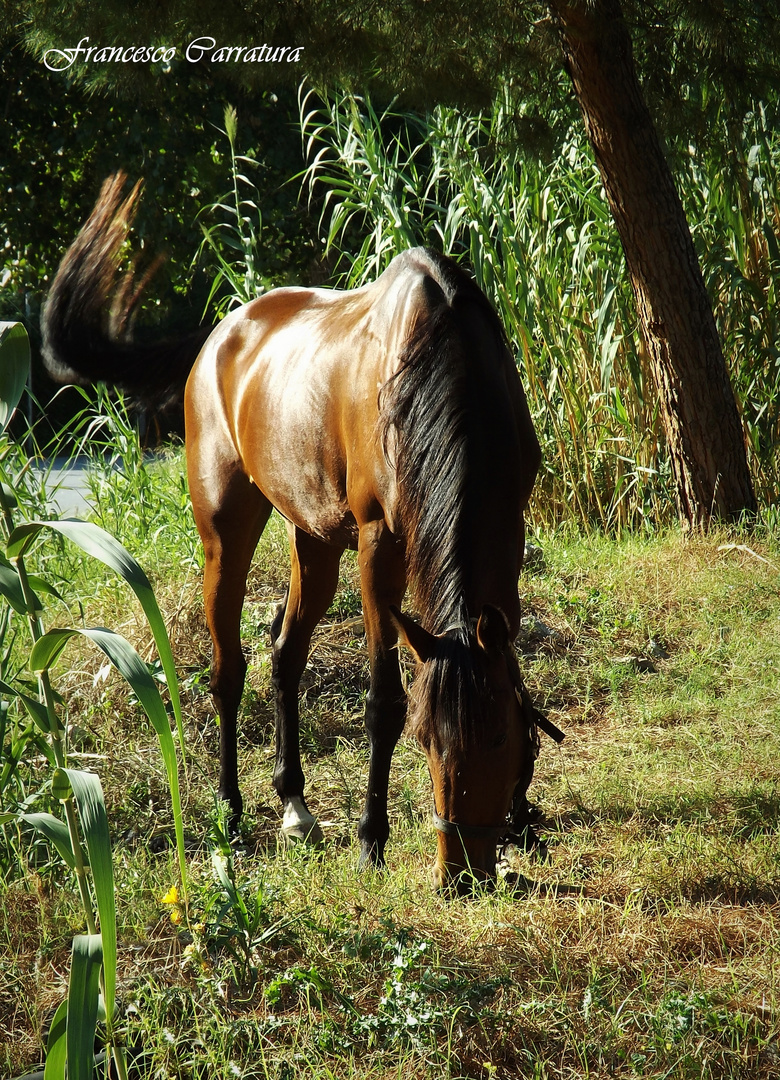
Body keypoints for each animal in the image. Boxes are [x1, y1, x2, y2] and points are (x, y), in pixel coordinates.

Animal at [44, 172, 553, 889]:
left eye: (502, 737)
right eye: (427, 739)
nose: (461, 872)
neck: (443, 366)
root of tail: (222, 332)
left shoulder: (506, 530)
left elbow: (509, 665)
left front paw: (521, 821)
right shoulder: (379, 544)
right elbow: (383, 700)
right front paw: (371, 838)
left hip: (313, 538)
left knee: (285, 649)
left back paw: (295, 804)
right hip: (227, 532)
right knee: (229, 668)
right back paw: (230, 814)